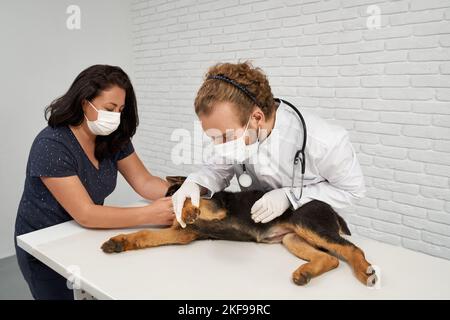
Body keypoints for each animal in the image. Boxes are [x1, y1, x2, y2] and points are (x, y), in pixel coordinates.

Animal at [101, 176, 376, 286]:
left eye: (172, 193)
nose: (169, 203)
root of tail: (331, 209)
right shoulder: (182, 234)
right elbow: (144, 235)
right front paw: (119, 242)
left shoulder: (217, 208)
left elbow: (196, 200)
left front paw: (189, 209)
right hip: (291, 238)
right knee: (330, 258)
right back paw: (304, 273)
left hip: (307, 223)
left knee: (352, 249)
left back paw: (365, 272)